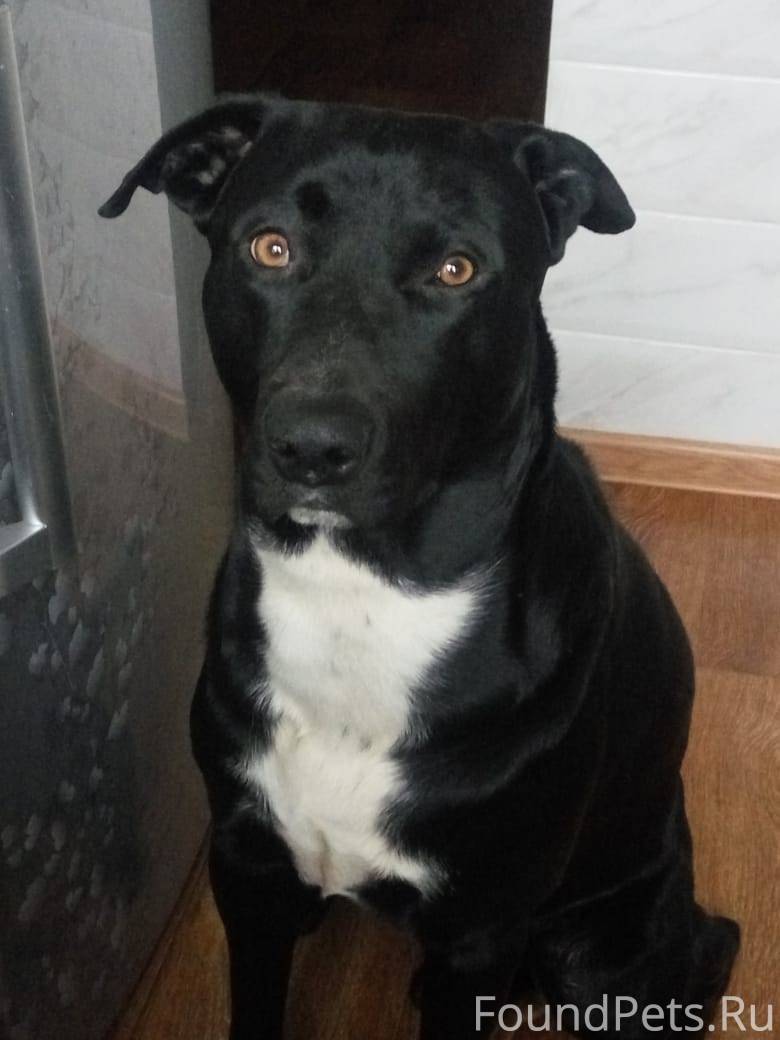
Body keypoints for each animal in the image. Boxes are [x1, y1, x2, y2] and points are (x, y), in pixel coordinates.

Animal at [100, 94, 739, 1039]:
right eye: (270, 247)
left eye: (455, 269)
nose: (311, 448)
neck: (361, 592)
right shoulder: (246, 869)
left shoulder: (480, 928)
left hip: (601, 953)